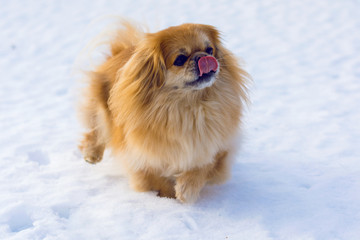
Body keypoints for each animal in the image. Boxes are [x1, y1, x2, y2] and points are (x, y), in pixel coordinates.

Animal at [78, 22, 248, 202]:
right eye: (180, 59)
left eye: (210, 50)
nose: (203, 57)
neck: (189, 107)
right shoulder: (145, 158)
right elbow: (157, 179)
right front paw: (168, 198)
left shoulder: (216, 149)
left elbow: (202, 167)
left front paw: (186, 189)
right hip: (102, 112)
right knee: (96, 131)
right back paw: (91, 154)